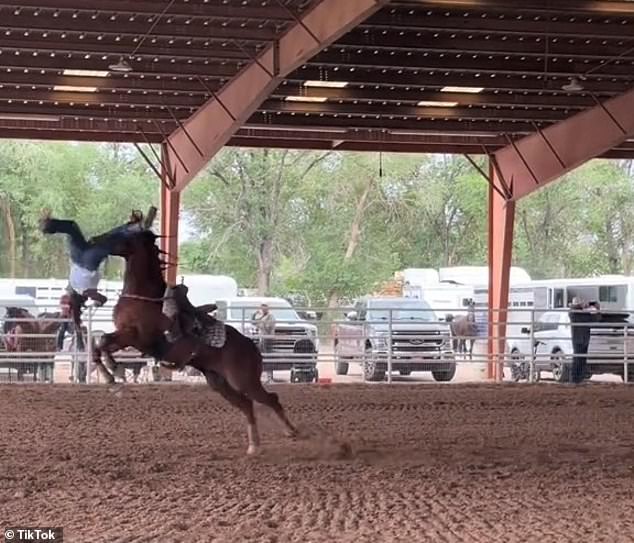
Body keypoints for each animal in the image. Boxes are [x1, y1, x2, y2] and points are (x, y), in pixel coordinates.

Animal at [91, 230, 296, 454]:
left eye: (120, 235)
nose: (94, 240)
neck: (144, 297)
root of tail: (252, 347)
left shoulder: (137, 337)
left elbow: (104, 341)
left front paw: (114, 371)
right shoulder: (126, 337)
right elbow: (101, 343)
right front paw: (111, 376)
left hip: (243, 381)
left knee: (270, 399)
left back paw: (291, 431)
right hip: (219, 383)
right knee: (247, 405)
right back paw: (254, 445)